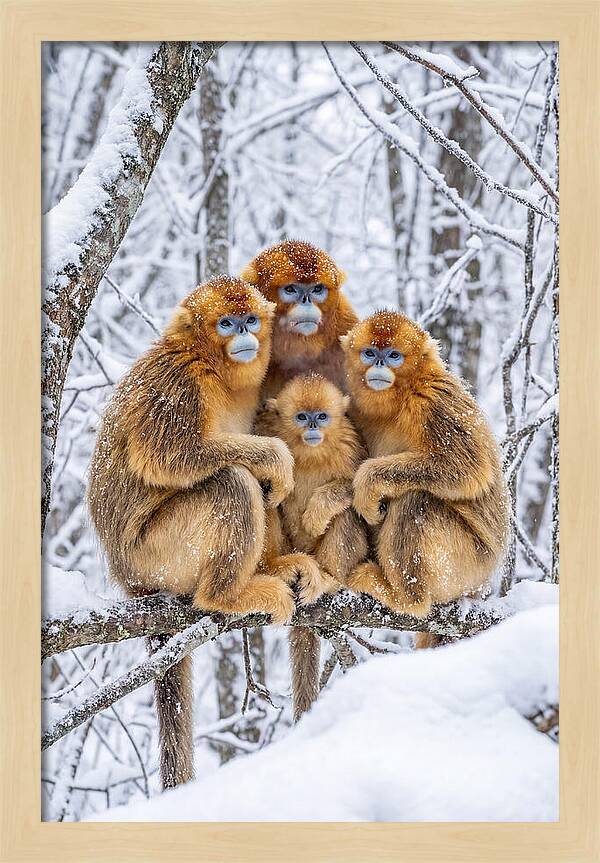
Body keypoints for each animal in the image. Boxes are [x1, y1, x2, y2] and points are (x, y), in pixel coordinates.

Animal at [87, 276, 302, 789]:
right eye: (226, 323)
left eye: (249, 319)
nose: (244, 334)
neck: (215, 369)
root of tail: (128, 579)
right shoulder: (178, 383)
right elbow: (170, 457)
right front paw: (274, 455)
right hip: (156, 555)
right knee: (233, 483)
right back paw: (226, 595)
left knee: (257, 489)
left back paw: (272, 567)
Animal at [262, 373, 369, 720]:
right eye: (301, 416)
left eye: (321, 416)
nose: (312, 426)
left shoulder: (351, 444)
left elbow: (358, 488)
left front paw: (317, 512)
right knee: (265, 496)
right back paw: (276, 568)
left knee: (347, 513)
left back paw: (329, 578)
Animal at [340, 311, 509, 647]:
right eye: (370, 353)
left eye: (393, 355)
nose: (380, 363)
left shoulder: (433, 400)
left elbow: (468, 469)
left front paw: (368, 483)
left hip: (467, 565)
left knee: (416, 501)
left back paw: (406, 598)